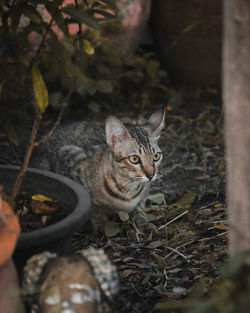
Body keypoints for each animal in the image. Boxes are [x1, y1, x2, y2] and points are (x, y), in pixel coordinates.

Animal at [30, 108, 164, 229]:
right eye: (134, 159)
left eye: (156, 157)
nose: (151, 175)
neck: (129, 188)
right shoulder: (68, 156)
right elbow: (92, 206)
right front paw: (101, 224)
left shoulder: (144, 193)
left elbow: (140, 205)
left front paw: (142, 220)